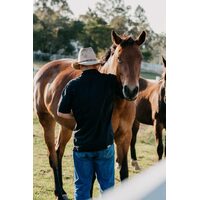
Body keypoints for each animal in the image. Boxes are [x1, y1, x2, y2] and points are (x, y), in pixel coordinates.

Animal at [33, 30, 145, 200]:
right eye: (119, 58)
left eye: (140, 58)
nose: (131, 91)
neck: (117, 101)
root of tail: (43, 69)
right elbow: (91, 176)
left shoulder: (124, 137)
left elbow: (124, 171)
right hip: (47, 122)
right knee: (52, 156)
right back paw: (59, 193)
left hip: (66, 127)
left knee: (59, 152)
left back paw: (62, 191)